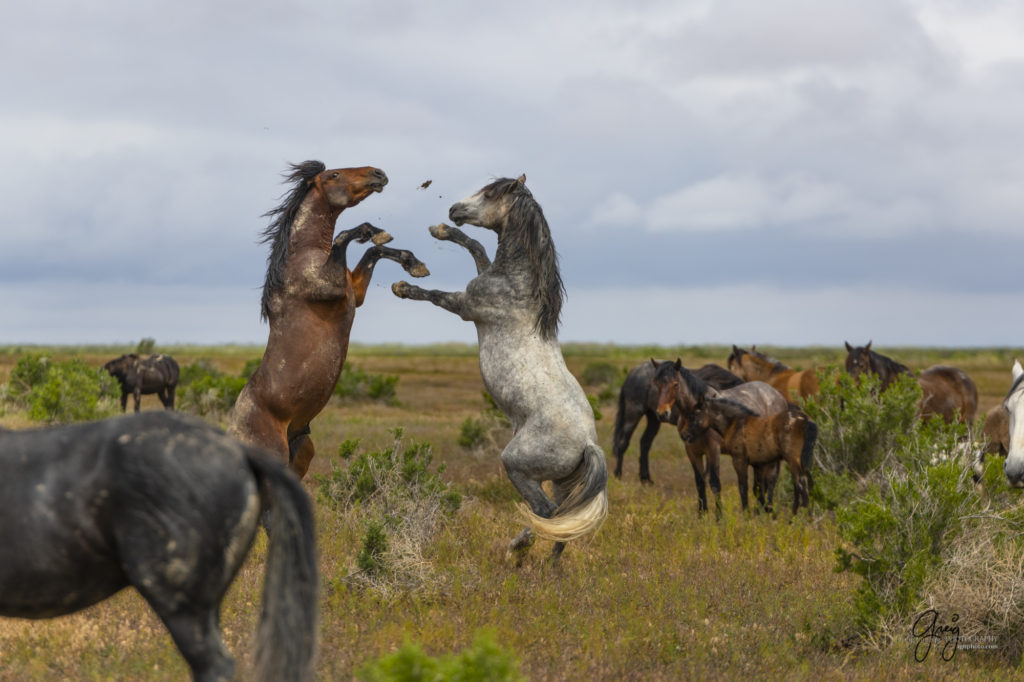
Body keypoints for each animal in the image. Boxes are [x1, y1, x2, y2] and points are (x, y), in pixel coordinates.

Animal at [229, 159, 428, 477]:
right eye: (334, 175)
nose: (378, 173)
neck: (303, 255)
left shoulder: (354, 292)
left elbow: (374, 251)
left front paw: (413, 263)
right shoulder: (331, 288)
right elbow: (344, 237)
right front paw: (371, 231)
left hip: (301, 453)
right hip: (274, 456)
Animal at [393, 174, 606, 557]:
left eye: (491, 194)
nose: (454, 209)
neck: (518, 284)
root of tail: (587, 443)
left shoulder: (465, 305)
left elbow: (434, 295)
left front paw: (402, 286)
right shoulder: (482, 273)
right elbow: (477, 246)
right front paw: (441, 231)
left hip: (517, 466)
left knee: (547, 512)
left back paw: (518, 548)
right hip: (564, 483)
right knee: (565, 522)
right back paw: (545, 563)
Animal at [606, 358, 745, 481]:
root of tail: (632, 373)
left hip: (654, 418)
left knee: (645, 442)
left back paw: (646, 479)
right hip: (633, 414)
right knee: (623, 442)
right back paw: (618, 475)